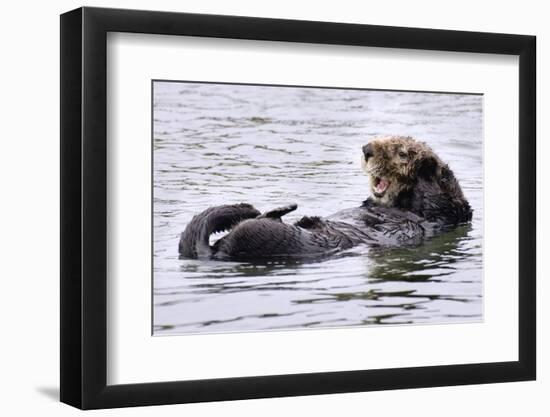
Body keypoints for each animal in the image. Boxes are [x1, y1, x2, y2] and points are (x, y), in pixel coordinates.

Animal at [179, 136, 472, 258]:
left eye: (399, 152)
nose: (367, 149)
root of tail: (215, 252)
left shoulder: (442, 213)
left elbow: (440, 195)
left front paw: (426, 164)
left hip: (269, 238)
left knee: (255, 226)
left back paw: (279, 210)